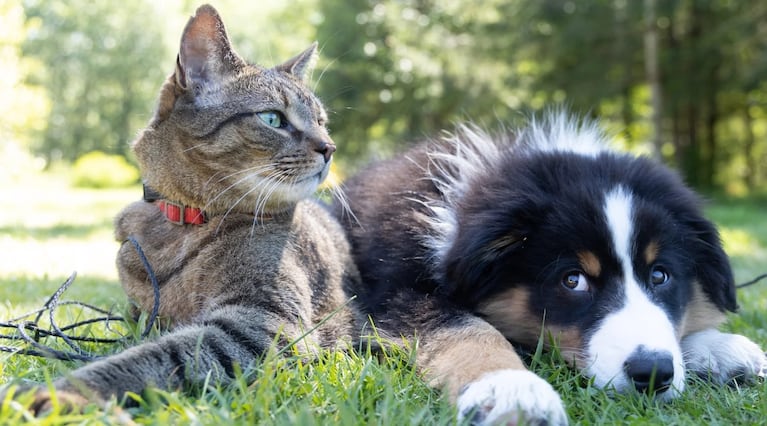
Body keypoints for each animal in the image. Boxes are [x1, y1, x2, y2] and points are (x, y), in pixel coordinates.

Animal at [7, 3, 360, 410]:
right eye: (273, 118)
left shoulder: (265, 323)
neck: (183, 223)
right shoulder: (141, 313)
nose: (329, 147)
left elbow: (155, 356)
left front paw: (64, 391)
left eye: (321, 122)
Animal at [338, 111, 767, 424]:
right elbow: (467, 329)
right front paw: (511, 389)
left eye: (660, 275)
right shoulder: (395, 293)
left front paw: (719, 348)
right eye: (572, 280)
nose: (652, 373)